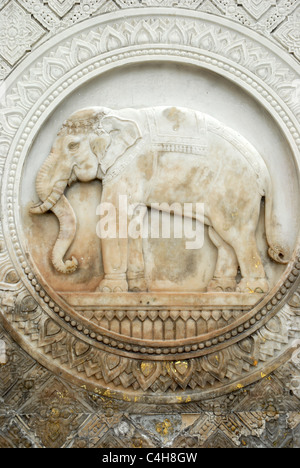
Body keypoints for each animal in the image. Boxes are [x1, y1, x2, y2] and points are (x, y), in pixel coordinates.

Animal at [29, 108, 288, 294]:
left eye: (72, 146)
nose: (72, 262)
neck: (115, 114)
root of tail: (265, 173)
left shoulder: (131, 166)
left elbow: (113, 218)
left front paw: (109, 290)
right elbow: (132, 220)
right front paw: (136, 289)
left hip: (235, 191)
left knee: (236, 235)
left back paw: (251, 290)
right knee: (221, 238)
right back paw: (221, 289)